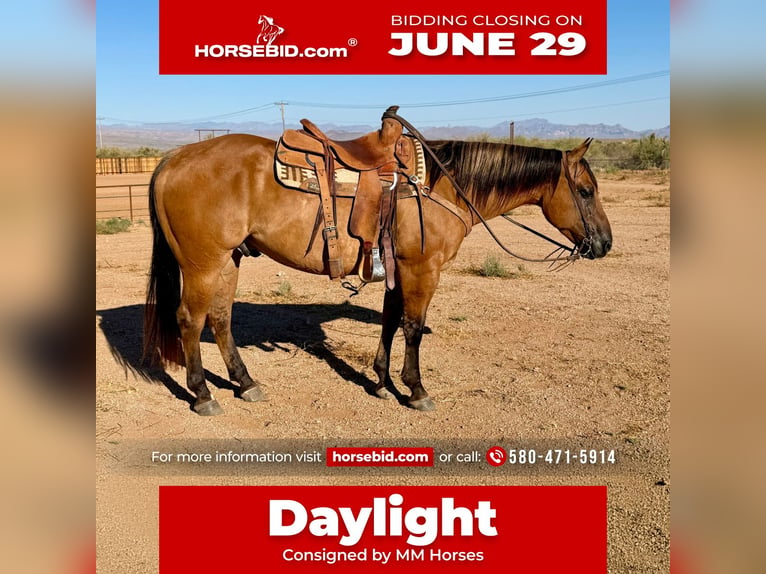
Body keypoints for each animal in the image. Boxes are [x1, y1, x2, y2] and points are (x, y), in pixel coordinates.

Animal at [143, 119, 612, 416]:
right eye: (586, 191)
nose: (605, 244)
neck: (442, 186)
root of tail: (173, 158)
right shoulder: (423, 268)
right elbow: (412, 327)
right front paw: (416, 389)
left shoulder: (397, 268)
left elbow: (389, 320)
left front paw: (383, 382)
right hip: (203, 264)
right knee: (189, 320)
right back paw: (203, 395)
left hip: (229, 260)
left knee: (220, 318)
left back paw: (245, 383)